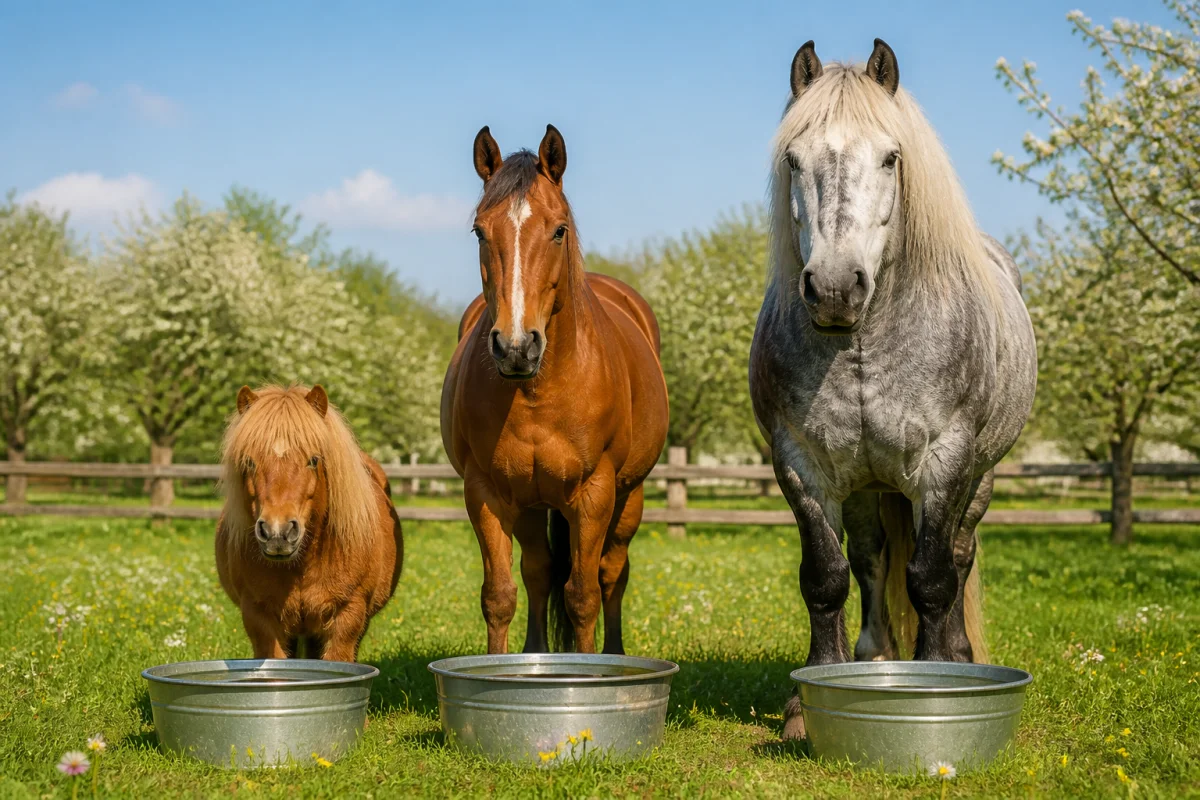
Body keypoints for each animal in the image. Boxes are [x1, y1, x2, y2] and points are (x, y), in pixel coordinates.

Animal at [441, 124, 669, 655]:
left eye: (559, 230)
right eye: (480, 231)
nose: (515, 346)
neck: (536, 395)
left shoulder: (594, 495)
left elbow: (583, 595)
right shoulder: (486, 492)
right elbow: (501, 595)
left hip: (629, 498)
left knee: (612, 573)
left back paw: (616, 652)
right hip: (529, 503)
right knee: (539, 571)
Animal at [748, 40, 1036, 739]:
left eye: (890, 157)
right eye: (794, 158)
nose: (833, 288)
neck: (861, 343)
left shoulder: (946, 463)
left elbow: (932, 579)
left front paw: (940, 682)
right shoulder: (802, 466)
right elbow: (826, 578)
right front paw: (806, 702)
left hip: (978, 478)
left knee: (958, 555)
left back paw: (957, 654)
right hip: (867, 485)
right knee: (873, 560)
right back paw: (876, 656)